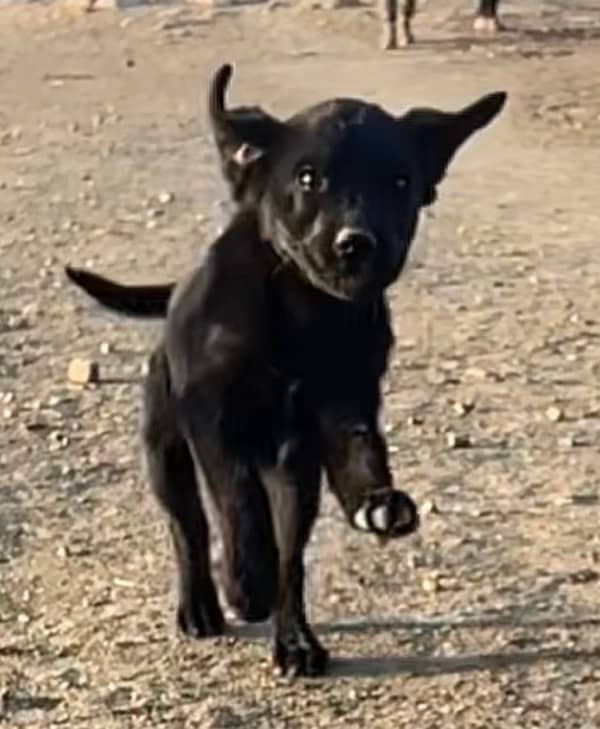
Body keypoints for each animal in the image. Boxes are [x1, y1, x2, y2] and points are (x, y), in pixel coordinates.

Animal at [65, 64, 506, 676]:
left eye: (399, 182)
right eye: (307, 178)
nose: (357, 244)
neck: (303, 313)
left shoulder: (337, 410)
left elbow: (360, 456)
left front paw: (376, 502)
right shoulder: (211, 417)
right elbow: (235, 500)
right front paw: (245, 579)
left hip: (295, 479)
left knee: (292, 561)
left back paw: (295, 641)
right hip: (165, 453)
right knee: (190, 528)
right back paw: (203, 605)